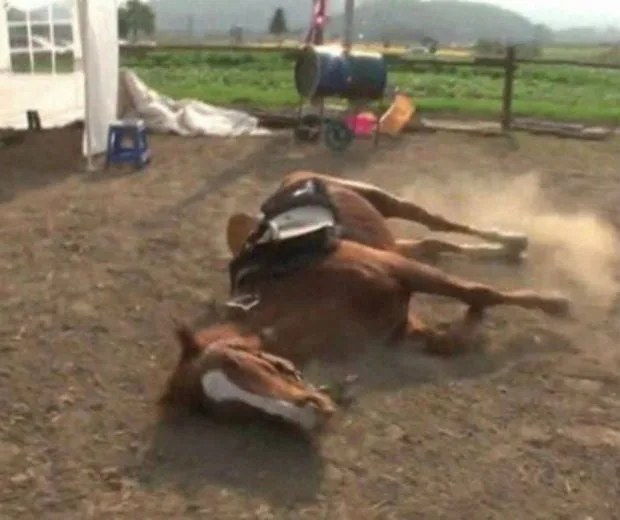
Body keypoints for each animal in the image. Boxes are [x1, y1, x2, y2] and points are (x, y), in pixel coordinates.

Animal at [161, 173, 572, 432]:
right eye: (229, 412)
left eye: (241, 364)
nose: (311, 416)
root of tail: (295, 178)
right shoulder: (401, 323)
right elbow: (450, 338)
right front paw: (473, 323)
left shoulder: (399, 269)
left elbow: (480, 292)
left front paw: (553, 303)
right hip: (393, 240)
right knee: (434, 243)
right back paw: (503, 250)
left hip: (384, 201)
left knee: (437, 222)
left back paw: (512, 240)